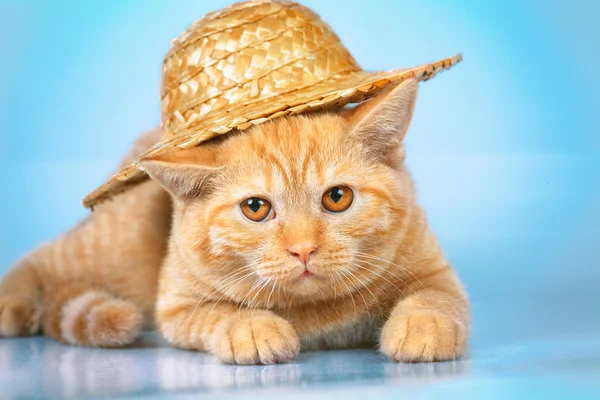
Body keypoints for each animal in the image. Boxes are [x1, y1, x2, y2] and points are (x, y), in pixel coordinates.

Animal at [0, 79, 468, 366]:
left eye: (338, 198)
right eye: (256, 208)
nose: (303, 249)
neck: (317, 311)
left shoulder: (435, 270)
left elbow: (435, 297)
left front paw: (423, 325)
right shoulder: (177, 306)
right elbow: (219, 312)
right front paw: (253, 328)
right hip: (116, 248)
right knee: (41, 257)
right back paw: (12, 303)